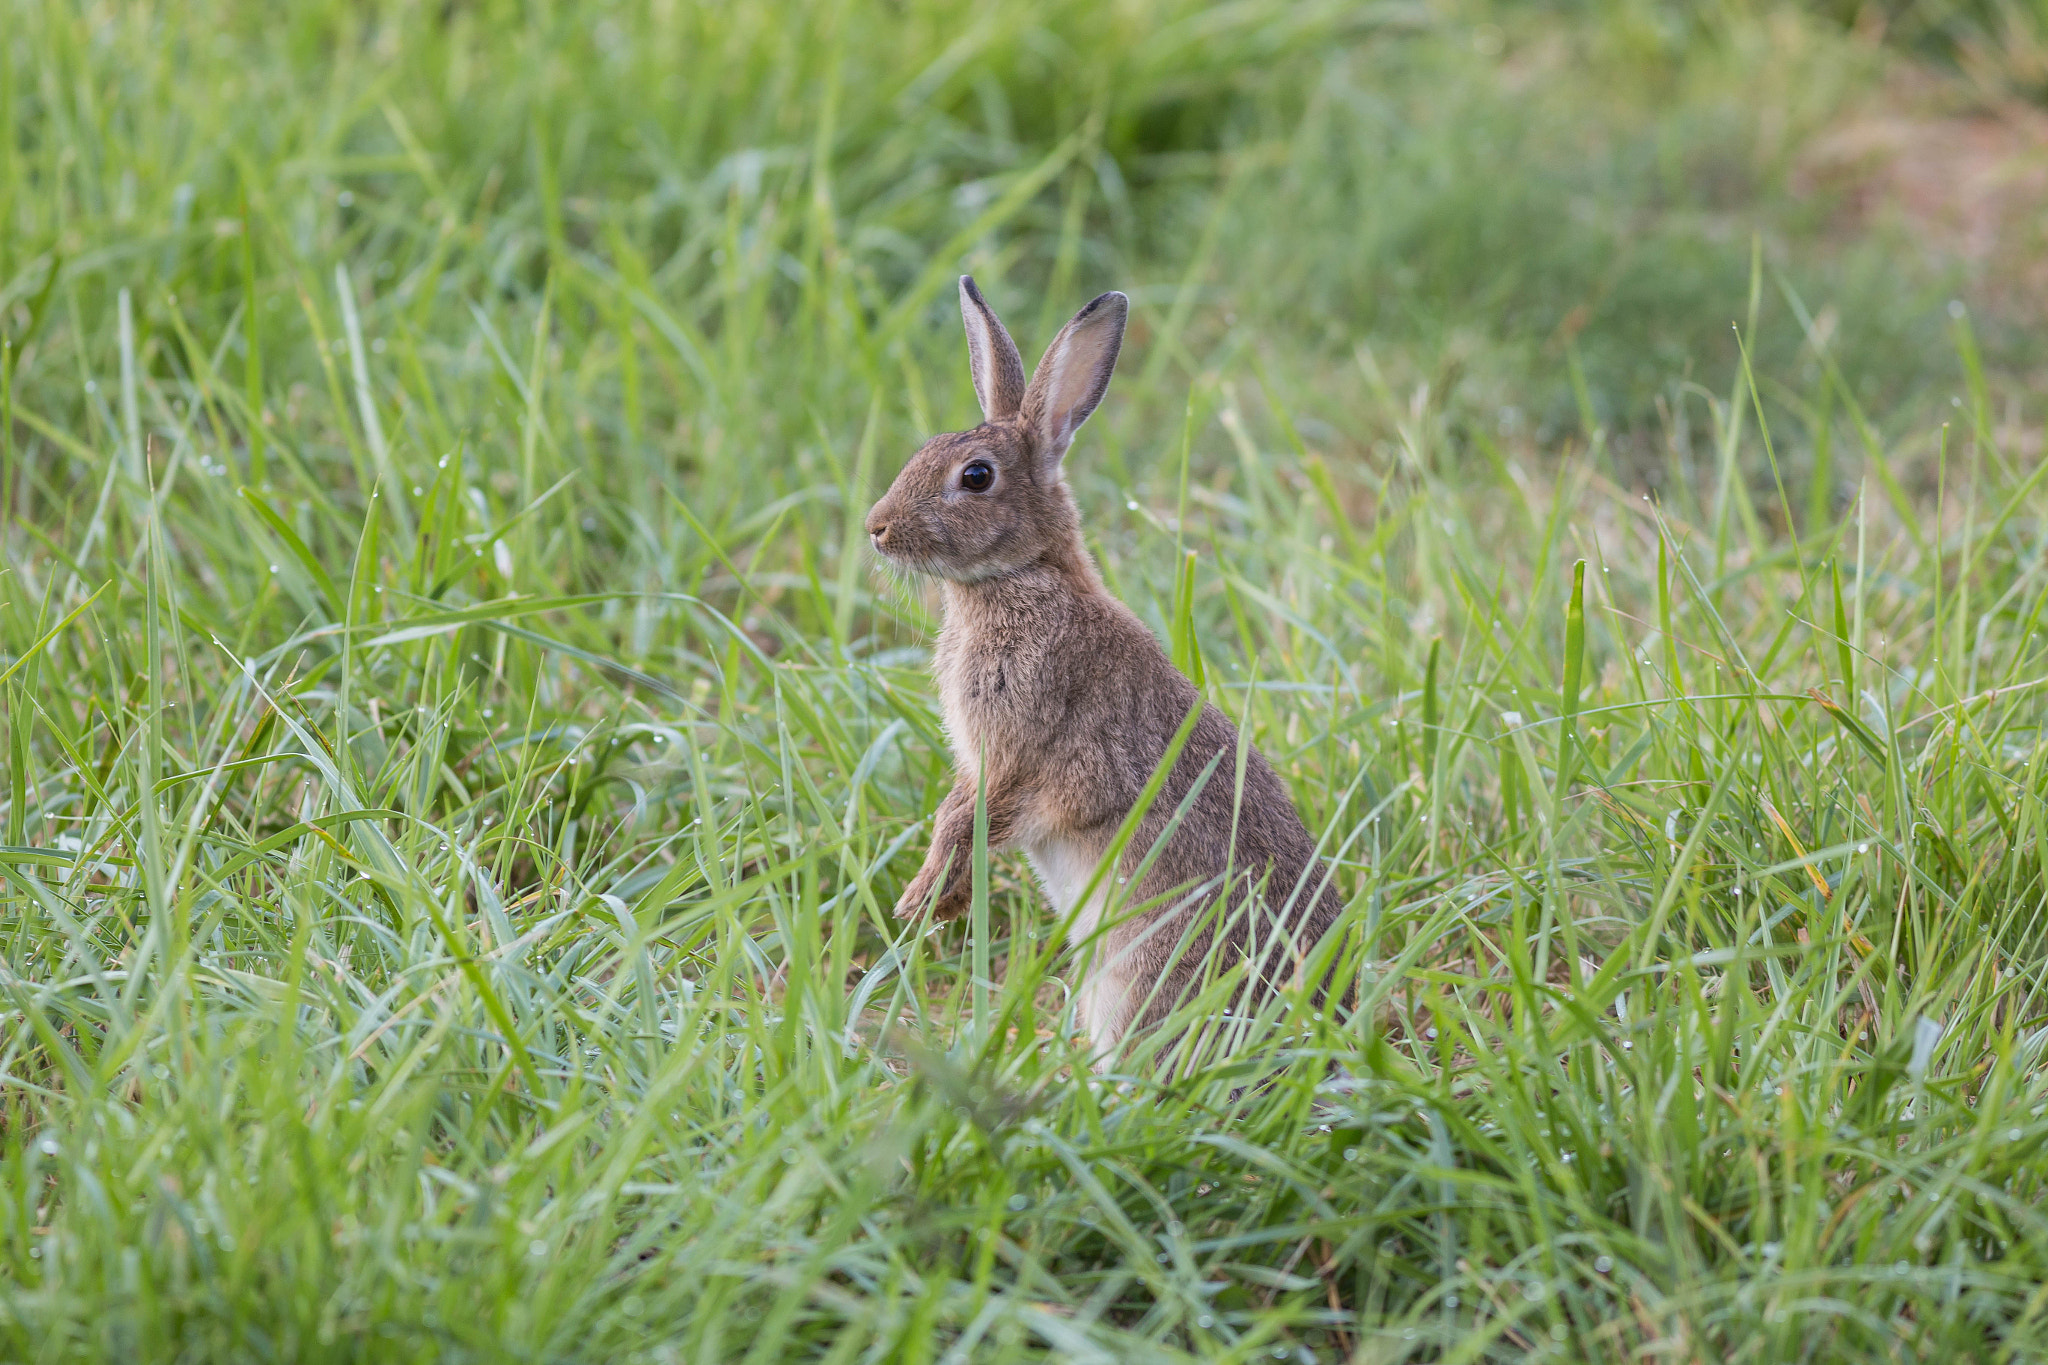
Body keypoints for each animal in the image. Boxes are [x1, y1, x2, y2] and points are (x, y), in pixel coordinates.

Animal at [864, 272, 1343, 1055]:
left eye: (976, 476)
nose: (876, 528)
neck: (1025, 574)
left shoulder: (1020, 741)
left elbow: (968, 820)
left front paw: (921, 900)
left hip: (1144, 966)